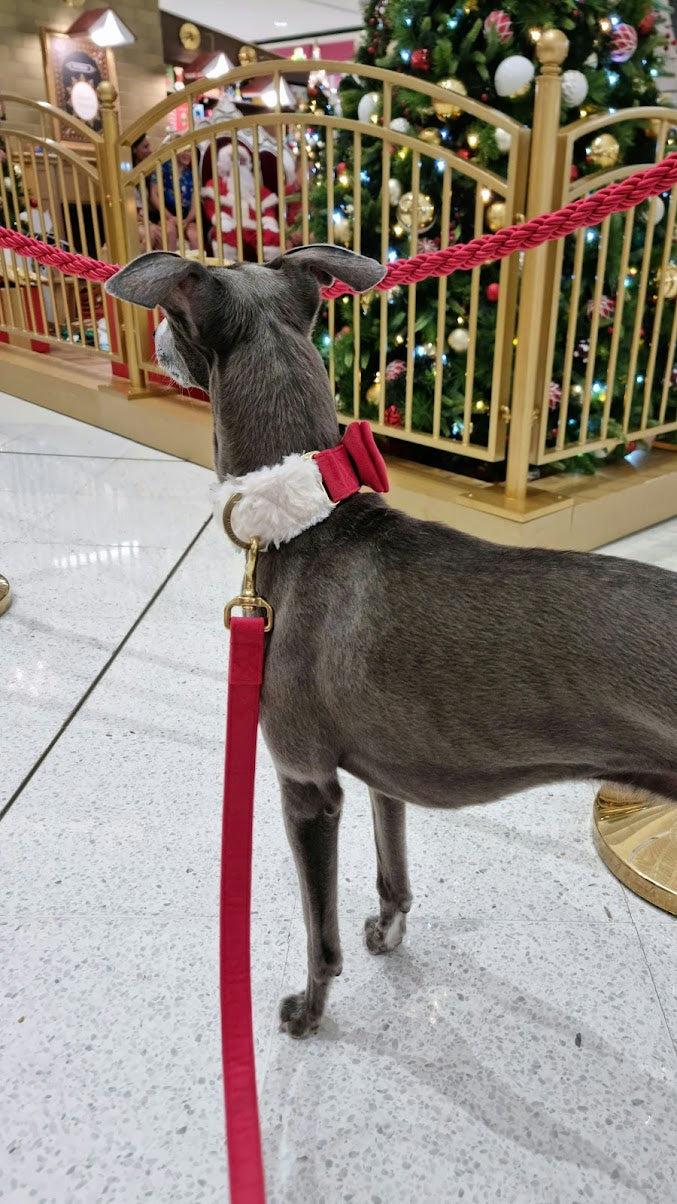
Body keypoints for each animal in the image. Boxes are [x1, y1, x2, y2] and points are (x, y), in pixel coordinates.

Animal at [105, 244, 674, 1035]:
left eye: (170, 312)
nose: (152, 340)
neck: (308, 526)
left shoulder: (307, 785)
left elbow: (320, 935)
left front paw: (309, 1011)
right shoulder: (384, 772)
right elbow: (392, 873)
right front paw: (389, 930)